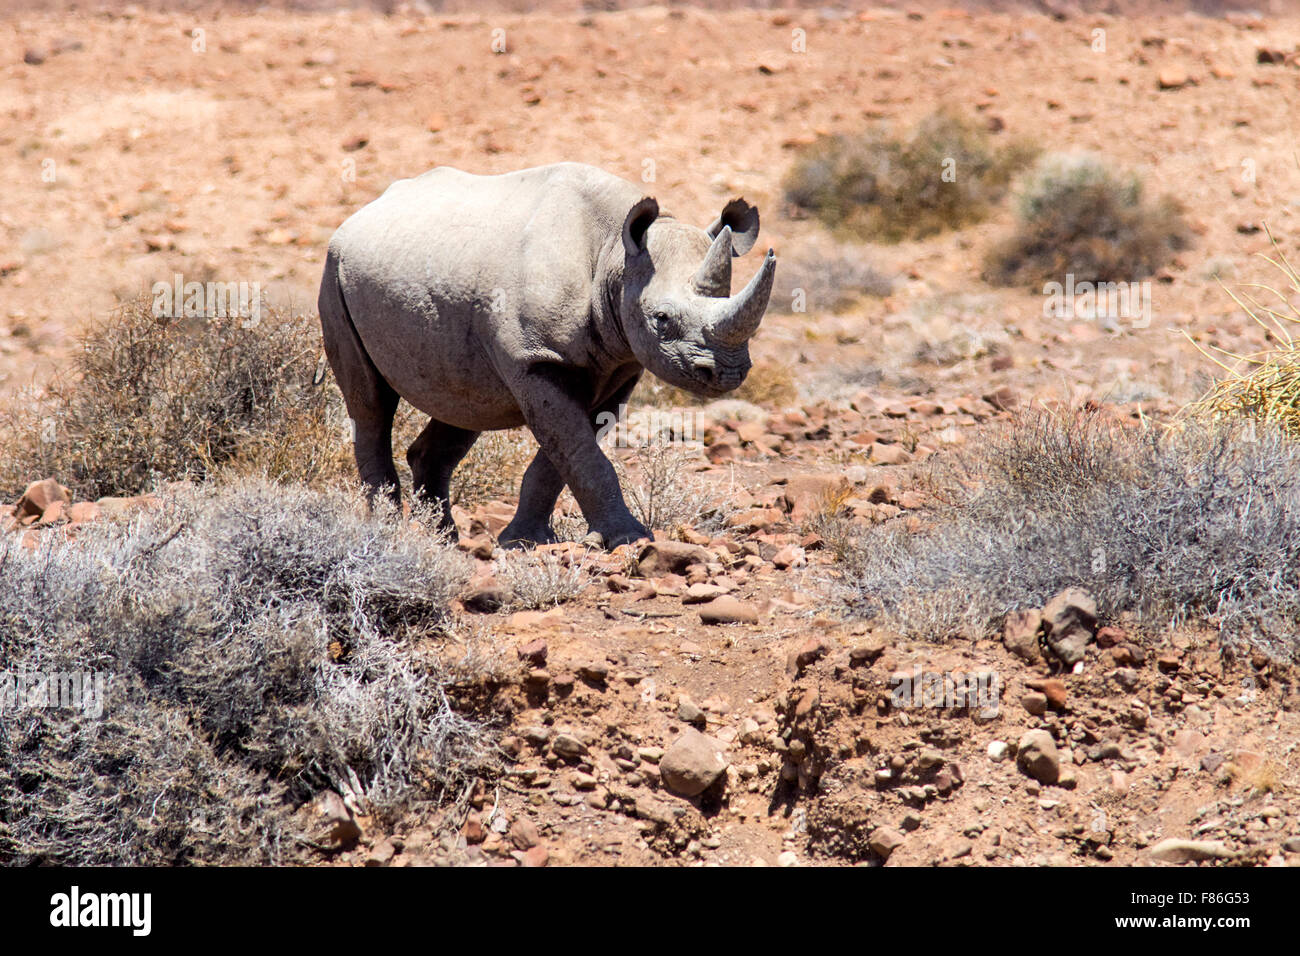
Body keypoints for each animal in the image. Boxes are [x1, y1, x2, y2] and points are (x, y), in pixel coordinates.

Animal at [318, 162, 776, 549]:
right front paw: (629, 540)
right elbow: (579, 452)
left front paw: (524, 540)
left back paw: (443, 542)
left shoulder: (620, 366)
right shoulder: (537, 358)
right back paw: (387, 534)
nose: (729, 372)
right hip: (335, 269)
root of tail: (360, 214)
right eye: (661, 319)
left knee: (462, 404)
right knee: (371, 404)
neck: (614, 257)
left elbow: (565, 455)